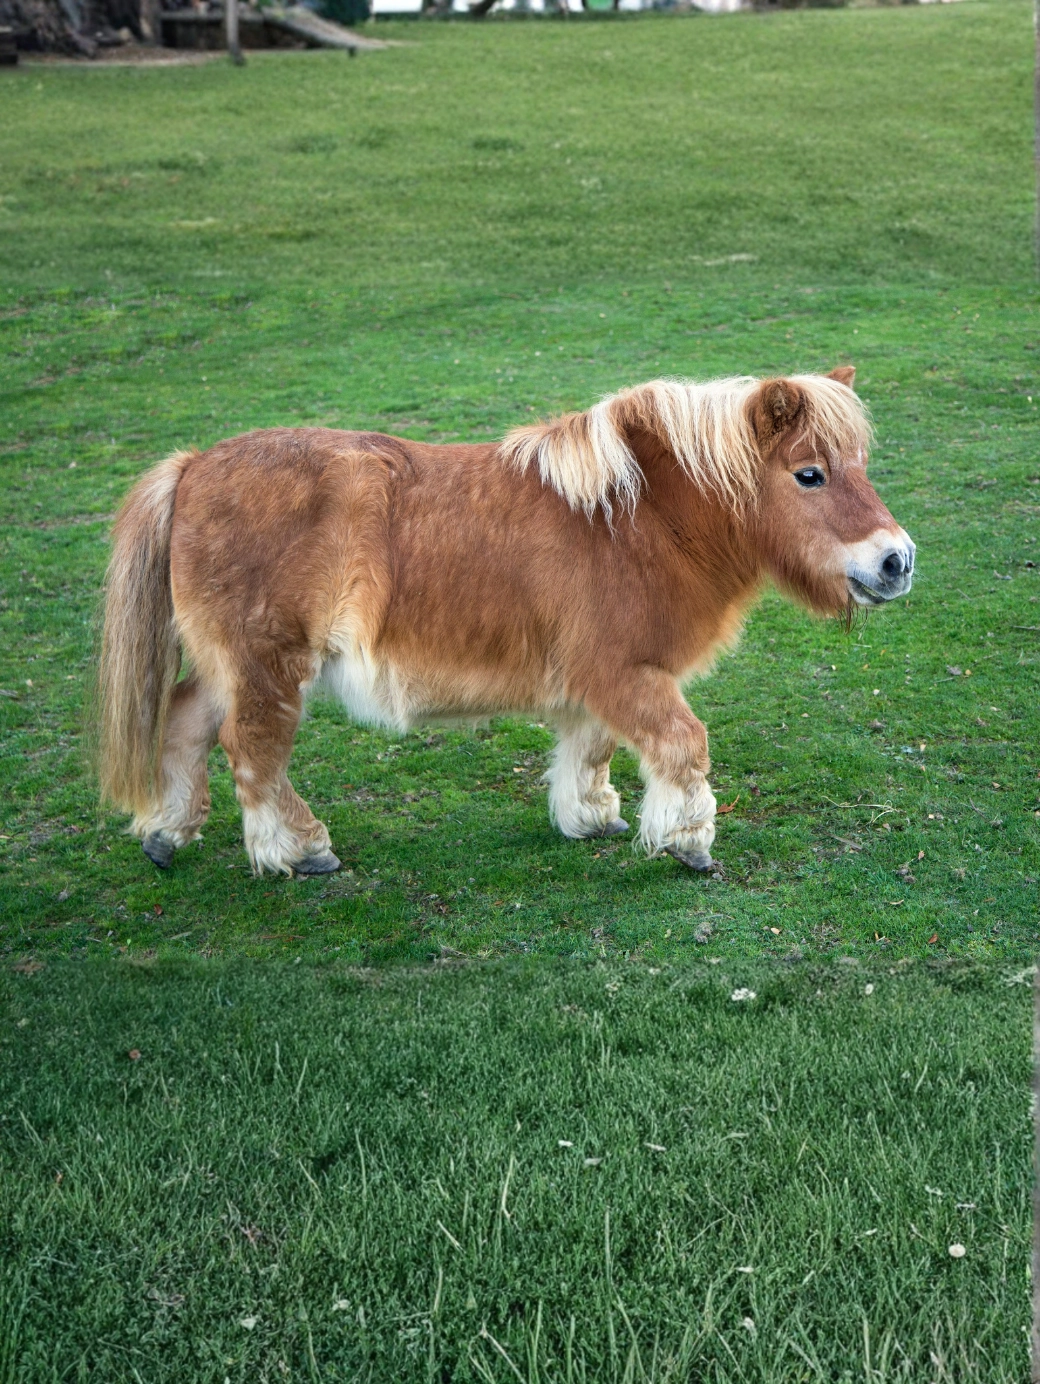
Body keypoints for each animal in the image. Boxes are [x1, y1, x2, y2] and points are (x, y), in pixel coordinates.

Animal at [96, 367, 914, 878]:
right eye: (809, 474)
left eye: (861, 465)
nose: (897, 561)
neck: (637, 519)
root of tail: (193, 466)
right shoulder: (626, 672)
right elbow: (684, 745)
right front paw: (688, 842)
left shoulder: (598, 683)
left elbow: (591, 749)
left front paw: (591, 818)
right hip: (268, 666)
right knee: (253, 752)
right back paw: (298, 851)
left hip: (229, 667)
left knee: (185, 724)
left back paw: (167, 835)